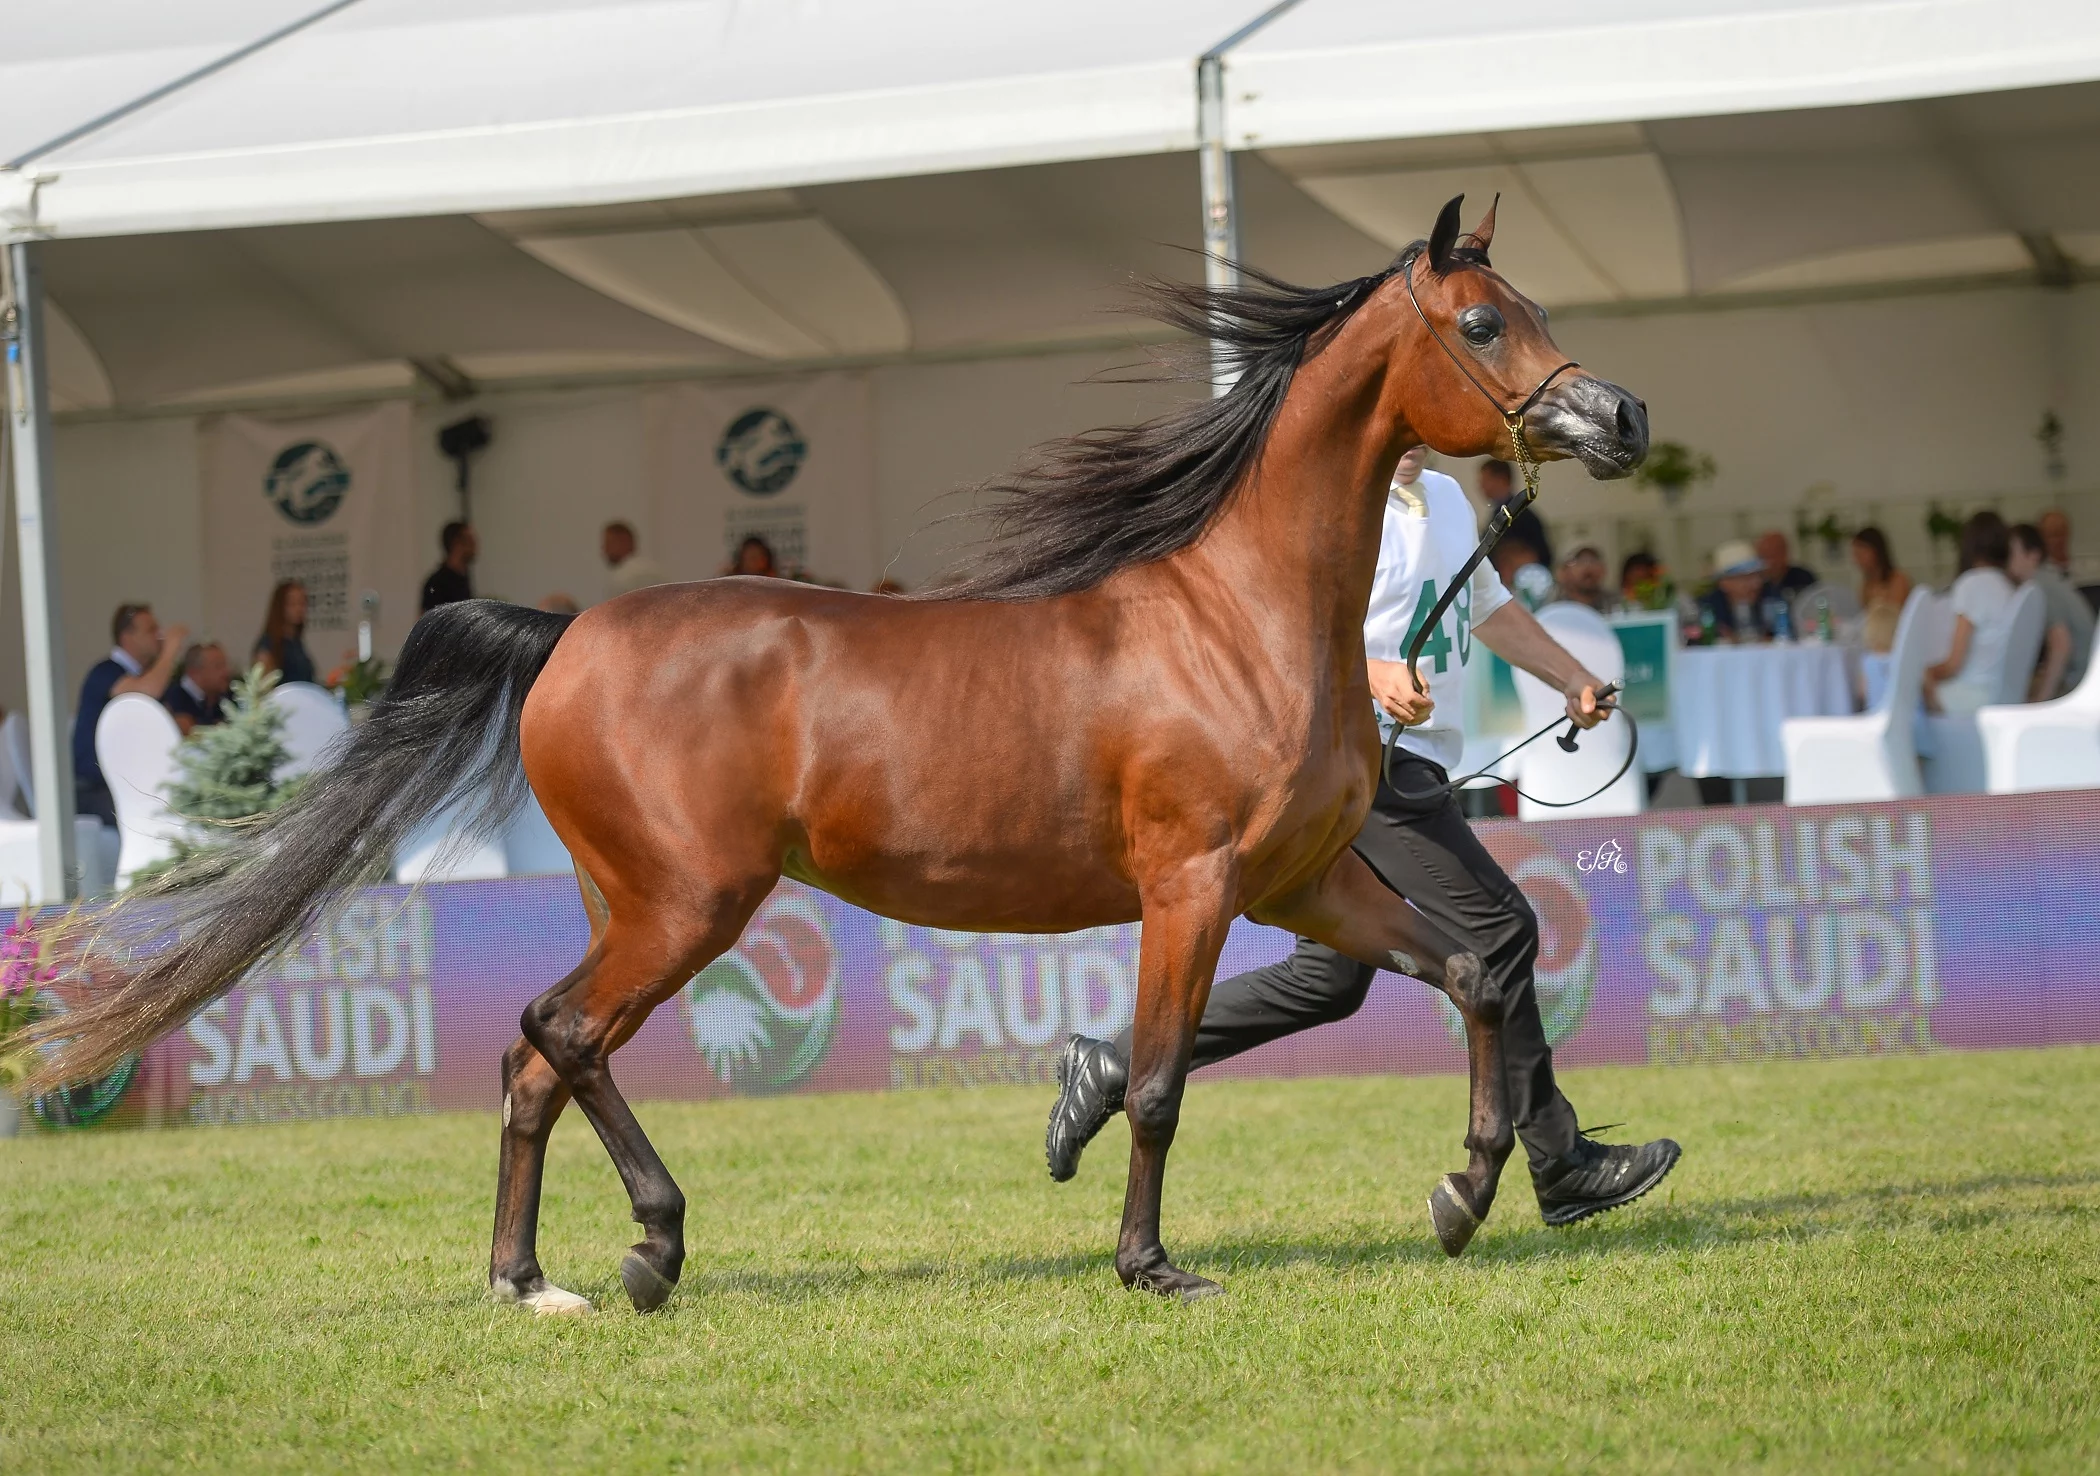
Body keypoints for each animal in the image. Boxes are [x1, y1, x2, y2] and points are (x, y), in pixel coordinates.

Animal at [24, 199, 1646, 1318]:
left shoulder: (1301, 883)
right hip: (691, 903)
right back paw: (654, 1246)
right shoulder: (1190, 888)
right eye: (1482, 323)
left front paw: (1467, 1190)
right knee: (559, 1032)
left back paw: (532, 1280)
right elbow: (1160, 1083)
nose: (1620, 414)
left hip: (640, 902)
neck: (1238, 617)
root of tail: (566, 629)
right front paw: (1153, 1266)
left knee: (533, 1057)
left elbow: (1475, 972)